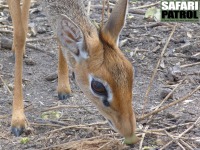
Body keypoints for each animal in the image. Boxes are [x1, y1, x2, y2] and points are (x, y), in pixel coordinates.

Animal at [7, 0, 139, 144]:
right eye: (98, 86)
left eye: (131, 73)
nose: (129, 132)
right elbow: (20, 36)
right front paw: (17, 121)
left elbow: (60, 37)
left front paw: (63, 88)